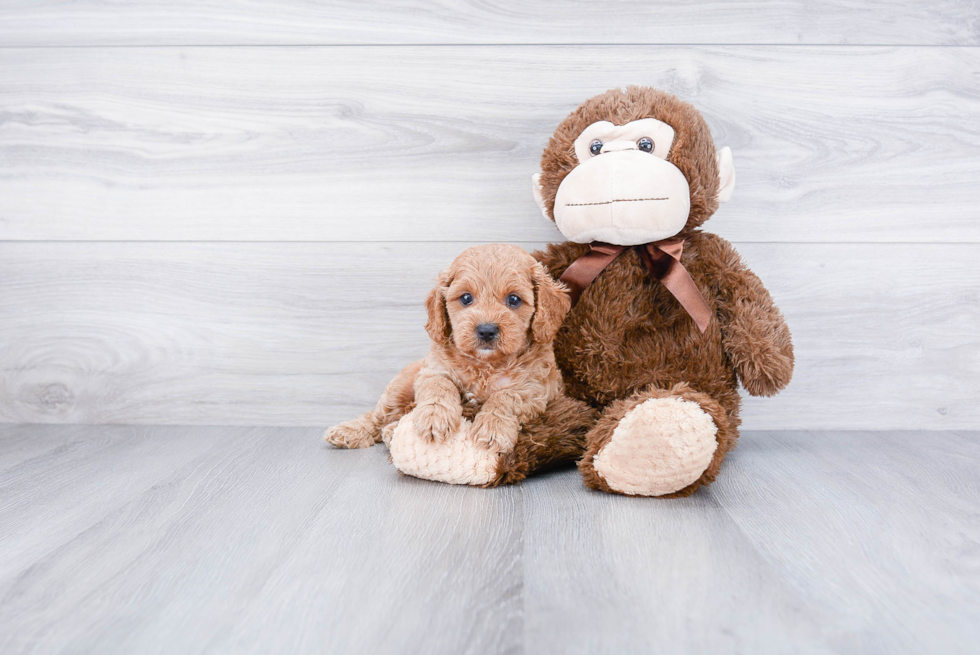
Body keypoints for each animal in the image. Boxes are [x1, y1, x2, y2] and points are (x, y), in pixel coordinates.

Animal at [326, 243, 572, 454]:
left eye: (514, 299)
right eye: (466, 298)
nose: (486, 330)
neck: (485, 364)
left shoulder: (535, 389)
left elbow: (505, 398)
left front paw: (492, 429)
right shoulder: (433, 370)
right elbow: (440, 385)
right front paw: (434, 417)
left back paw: (390, 431)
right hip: (400, 387)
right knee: (378, 416)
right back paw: (349, 431)